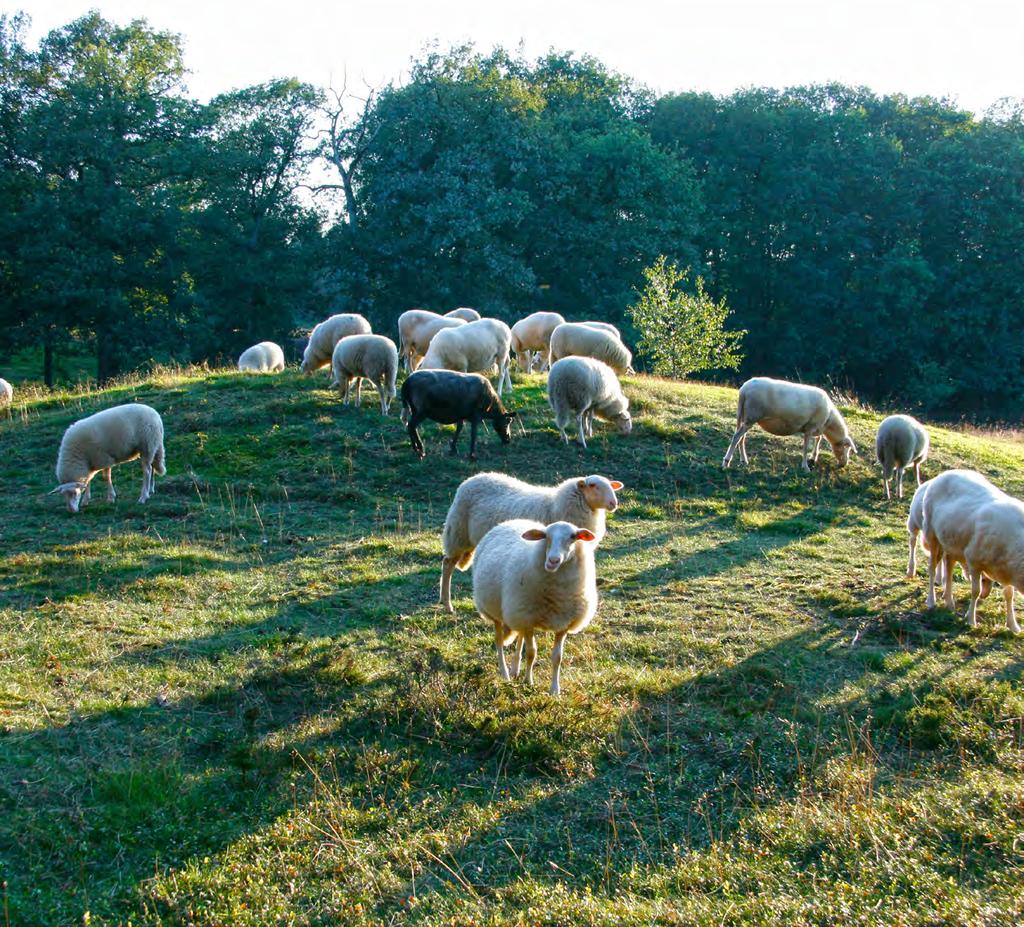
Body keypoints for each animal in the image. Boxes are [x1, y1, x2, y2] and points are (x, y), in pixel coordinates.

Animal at [440, 471, 622, 614]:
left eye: (610, 486)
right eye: (592, 485)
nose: (614, 503)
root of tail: (473, 478)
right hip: (457, 533)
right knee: (447, 563)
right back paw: (447, 604)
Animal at [471, 516, 598, 692]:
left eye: (573, 537)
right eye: (546, 536)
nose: (553, 561)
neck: (556, 595)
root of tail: (510, 521)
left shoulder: (562, 623)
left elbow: (557, 657)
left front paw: (555, 689)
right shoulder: (527, 620)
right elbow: (531, 652)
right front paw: (528, 681)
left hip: (518, 613)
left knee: (519, 637)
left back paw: (515, 669)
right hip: (496, 610)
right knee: (499, 641)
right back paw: (505, 674)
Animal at [724, 376, 860, 471]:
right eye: (847, 448)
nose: (844, 464)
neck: (828, 421)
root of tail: (743, 390)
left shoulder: (817, 427)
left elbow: (818, 439)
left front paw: (813, 457)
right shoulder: (810, 428)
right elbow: (806, 447)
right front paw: (805, 466)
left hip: (746, 417)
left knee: (741, 438)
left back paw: (744, 460)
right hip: (752, 415)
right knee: (737, 437)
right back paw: (726, 462)